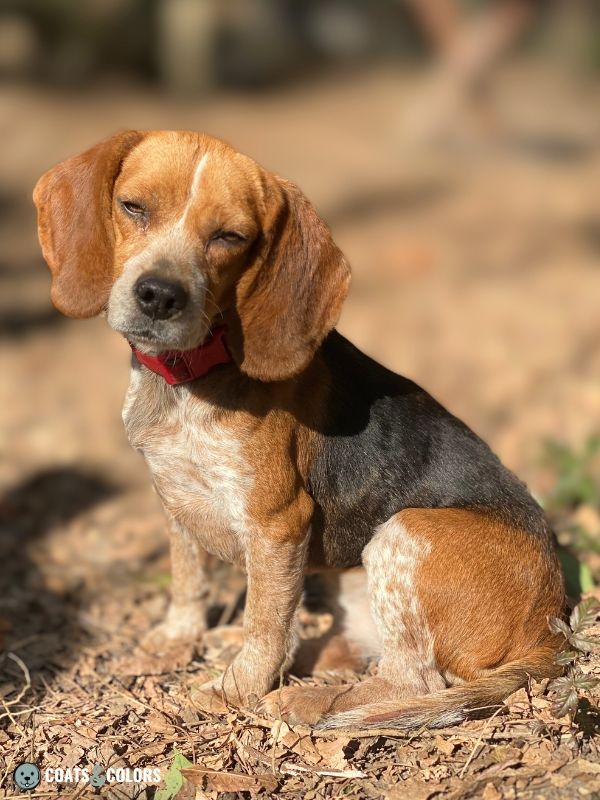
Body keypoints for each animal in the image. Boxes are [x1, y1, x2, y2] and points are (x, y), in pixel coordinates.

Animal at [35, 131, 564, 732]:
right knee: (343, 648)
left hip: (405, 533)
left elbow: (264, 626)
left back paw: (301, 702)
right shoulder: (172, 496)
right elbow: (187, 581)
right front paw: (174, 641)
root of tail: (551, 630)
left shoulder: (276, 523)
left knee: (409, 681)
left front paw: (234, 692)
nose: (160, 295)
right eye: (133, 207)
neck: (190, 376)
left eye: (230, 237)